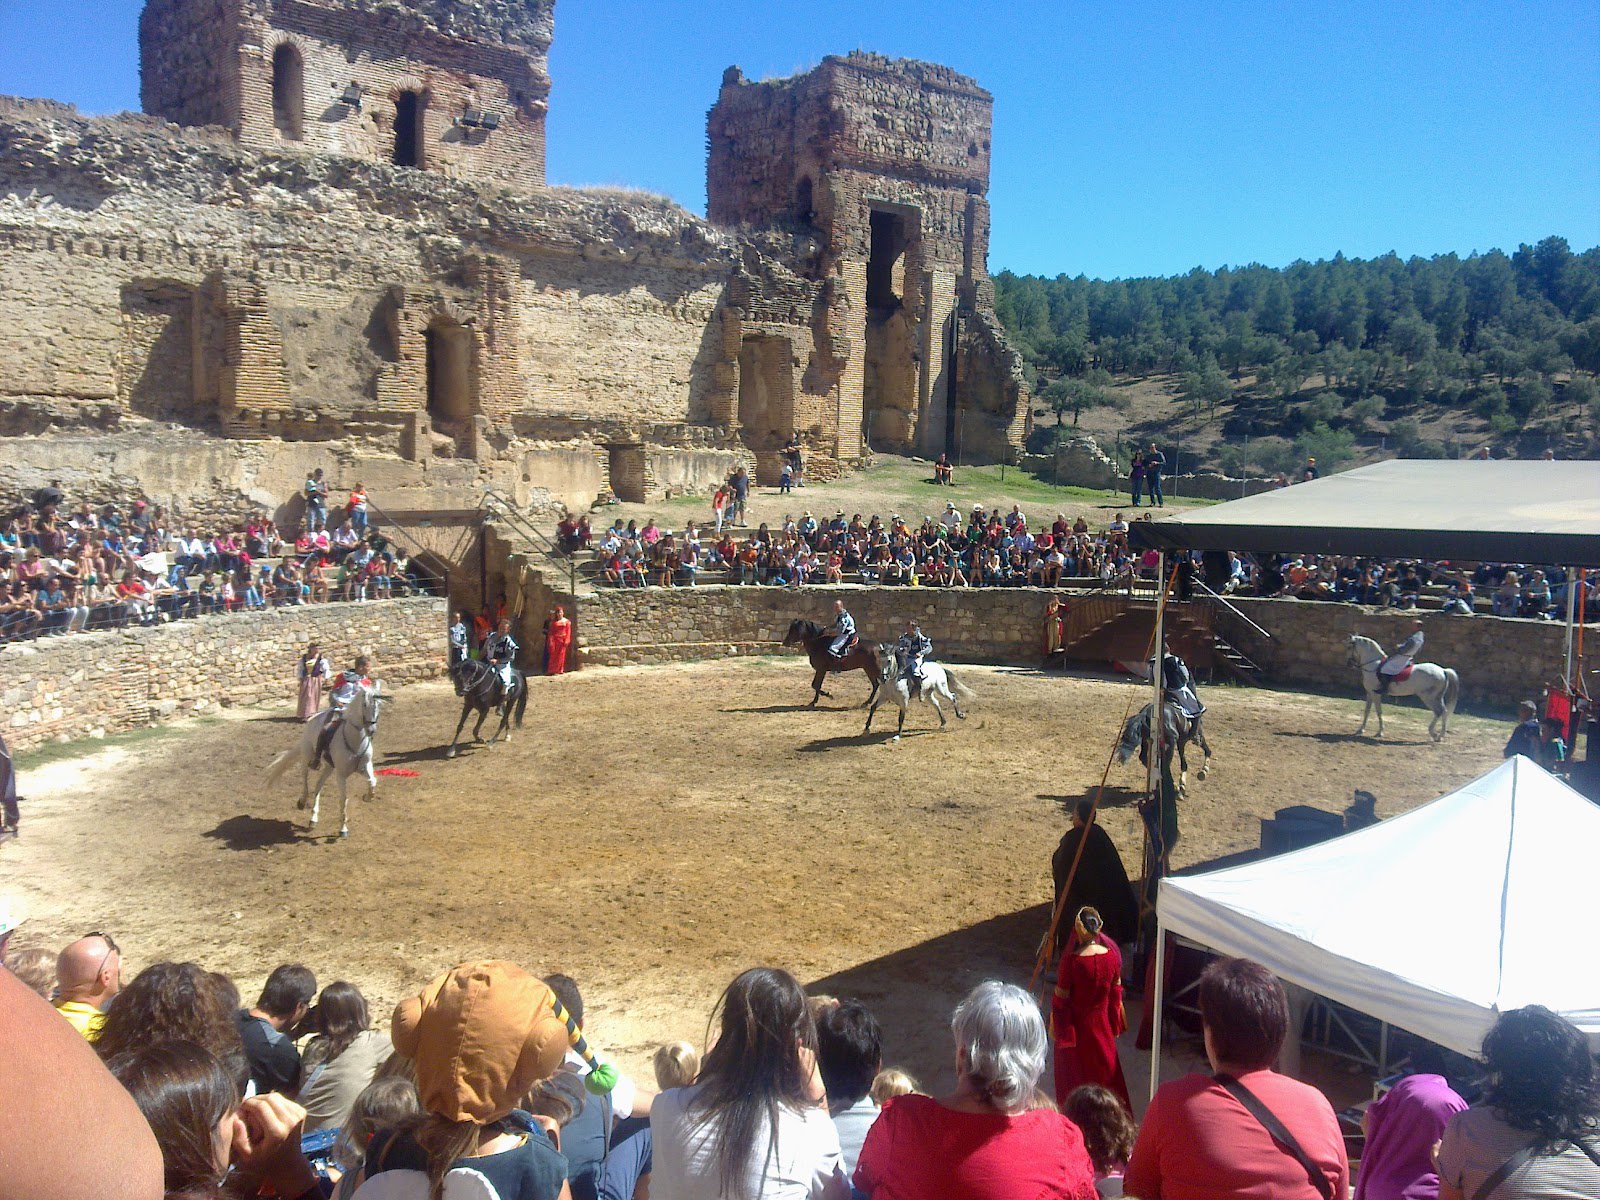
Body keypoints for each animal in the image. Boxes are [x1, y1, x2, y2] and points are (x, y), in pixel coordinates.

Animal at [264, 681, 388, 838]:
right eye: (365, 704)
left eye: (379, 704)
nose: (371, 730)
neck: (354, 740)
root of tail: (313, 718)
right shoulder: (341, 775)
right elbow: (343, 799)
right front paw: (343, 829)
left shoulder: (365, 767)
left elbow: (372, 781)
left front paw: (368, 797)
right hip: (307, 755)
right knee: (304, 778)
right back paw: (302, 801)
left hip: (329, 766)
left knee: (318, 785)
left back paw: (313, 818)